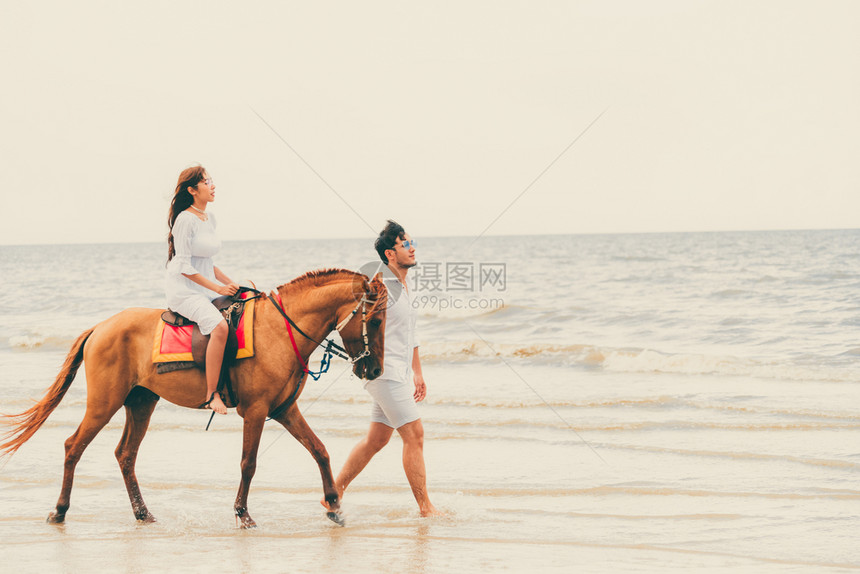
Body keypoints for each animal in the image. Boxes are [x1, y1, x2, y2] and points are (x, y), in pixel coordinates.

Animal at [0, 270, 384, 532]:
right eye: (377, 320)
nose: (375, 369)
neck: (279, 330)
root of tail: (101, 327)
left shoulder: (284, 410)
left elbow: (320, 450)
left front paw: (334, 505)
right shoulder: (256, 411)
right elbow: (249, 463)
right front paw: (243, 514)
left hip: (141, 403)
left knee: (125, 455)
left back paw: (142, 513)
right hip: (103, 404)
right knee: (73, 447)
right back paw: (60, 510)